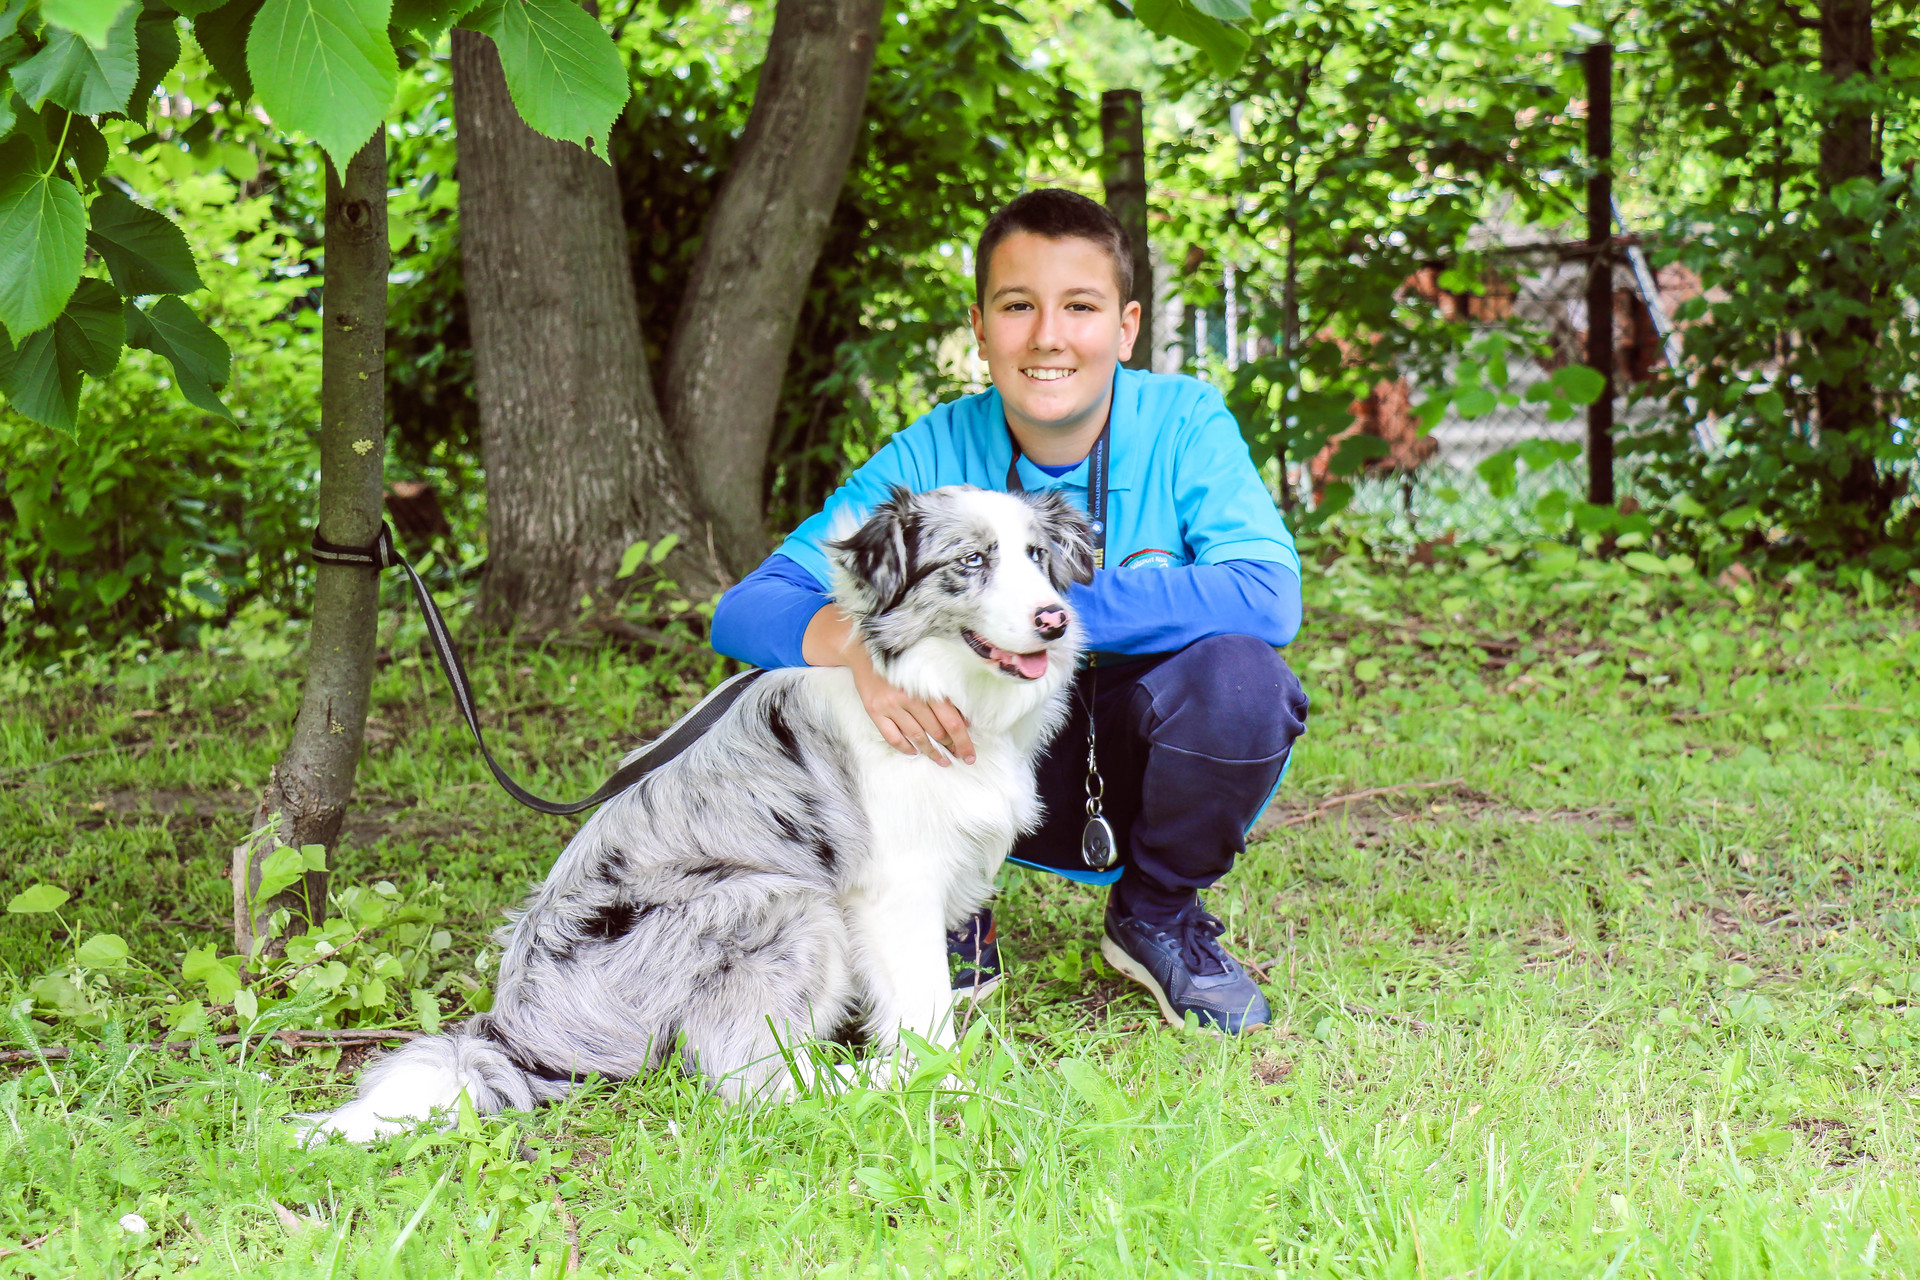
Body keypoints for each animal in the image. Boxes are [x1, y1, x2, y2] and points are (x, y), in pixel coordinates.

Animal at [305, 485, 1093, 1141]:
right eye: (972, 560)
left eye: (1036, 556)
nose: (1055, 620)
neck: (930, 681)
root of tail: (514, 1027)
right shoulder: (894, 889)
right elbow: (923, 1013)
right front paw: (950, 1084)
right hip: (778, 900)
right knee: (753, 1077)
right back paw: (873, 1081)